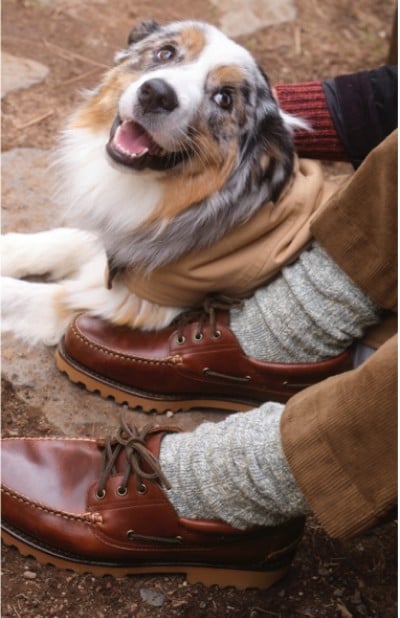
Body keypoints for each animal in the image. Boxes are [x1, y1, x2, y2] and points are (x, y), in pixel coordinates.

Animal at [0, 19, 310, 344]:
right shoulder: (119, 241)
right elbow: (67, 239)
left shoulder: (126, 306)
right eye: (166, 52)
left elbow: (21, 295)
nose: (156, 94)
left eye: (224, 98)